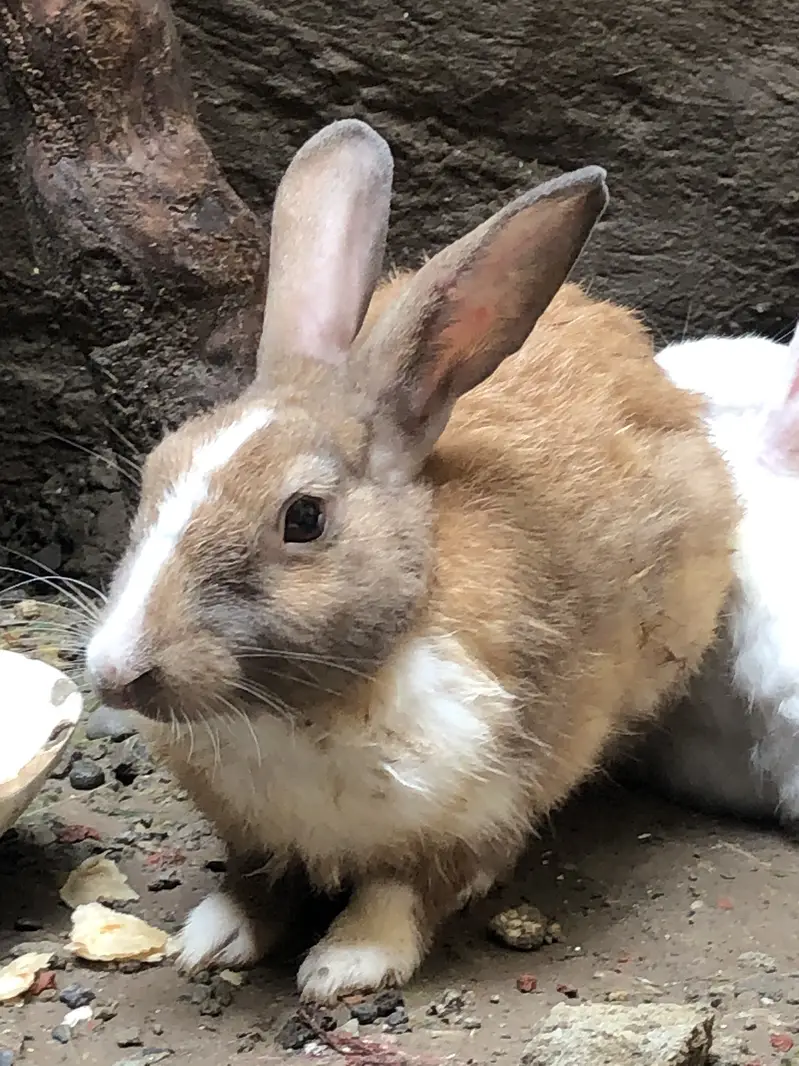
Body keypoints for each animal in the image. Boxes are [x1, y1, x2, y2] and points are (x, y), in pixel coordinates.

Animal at [84, 118, 738, 1003]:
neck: (301, 713)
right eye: (156, 471)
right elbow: (253, 879)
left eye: (303, 518)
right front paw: (212, 940)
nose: (115, 672)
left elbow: (400, 894)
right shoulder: (249, 831)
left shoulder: (480, 807)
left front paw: (344, 967)